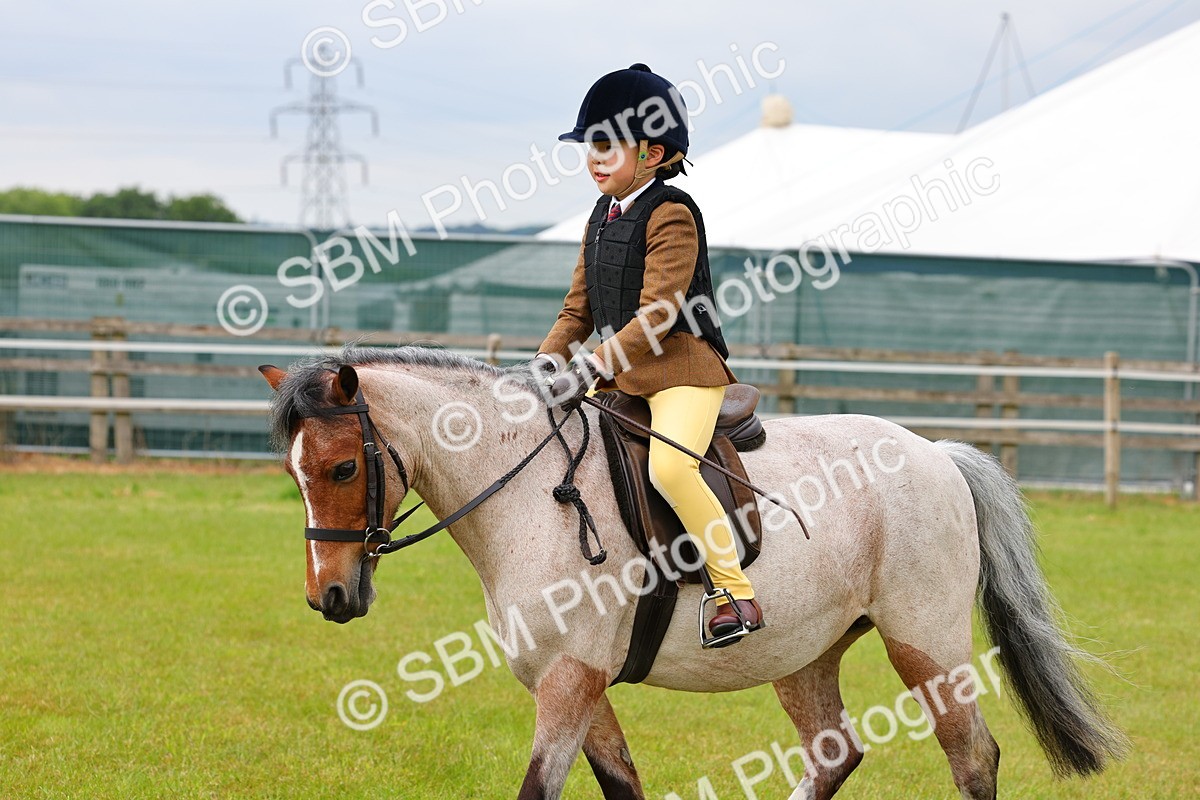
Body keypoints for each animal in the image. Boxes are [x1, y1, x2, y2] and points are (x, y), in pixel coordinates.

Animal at [258, 346, 1127, 800]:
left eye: (342, 468)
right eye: (295, 472)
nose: (331, 596)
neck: (528, 492)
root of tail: (935, 453)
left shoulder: (570, 679)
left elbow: (540, 789)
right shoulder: (575, 680)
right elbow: (621, 786)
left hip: (926, 642)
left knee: (971, 755)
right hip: (805, 655)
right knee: (834, 753)